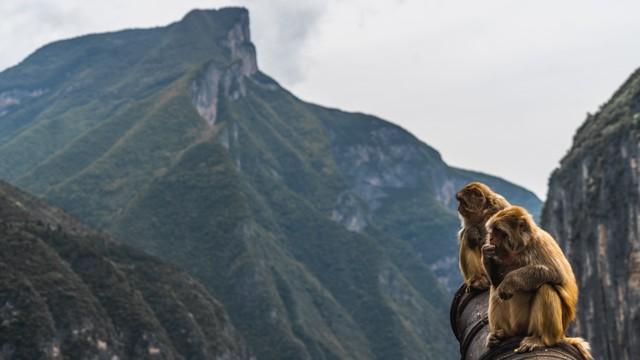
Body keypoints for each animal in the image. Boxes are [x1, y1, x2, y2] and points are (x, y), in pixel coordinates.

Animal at [482, 205, 592, 360]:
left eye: (498, 231)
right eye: (492, 231)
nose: (490, 238)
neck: (519, 249)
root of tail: (562, 334)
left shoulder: (541, 242)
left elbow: (555, 273)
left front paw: (509, 281)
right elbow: (497, 281)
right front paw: (486, 256)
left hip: (536, 326)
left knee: (545, 287)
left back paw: (541, 339)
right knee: (495, 290)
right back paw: (498, 336)